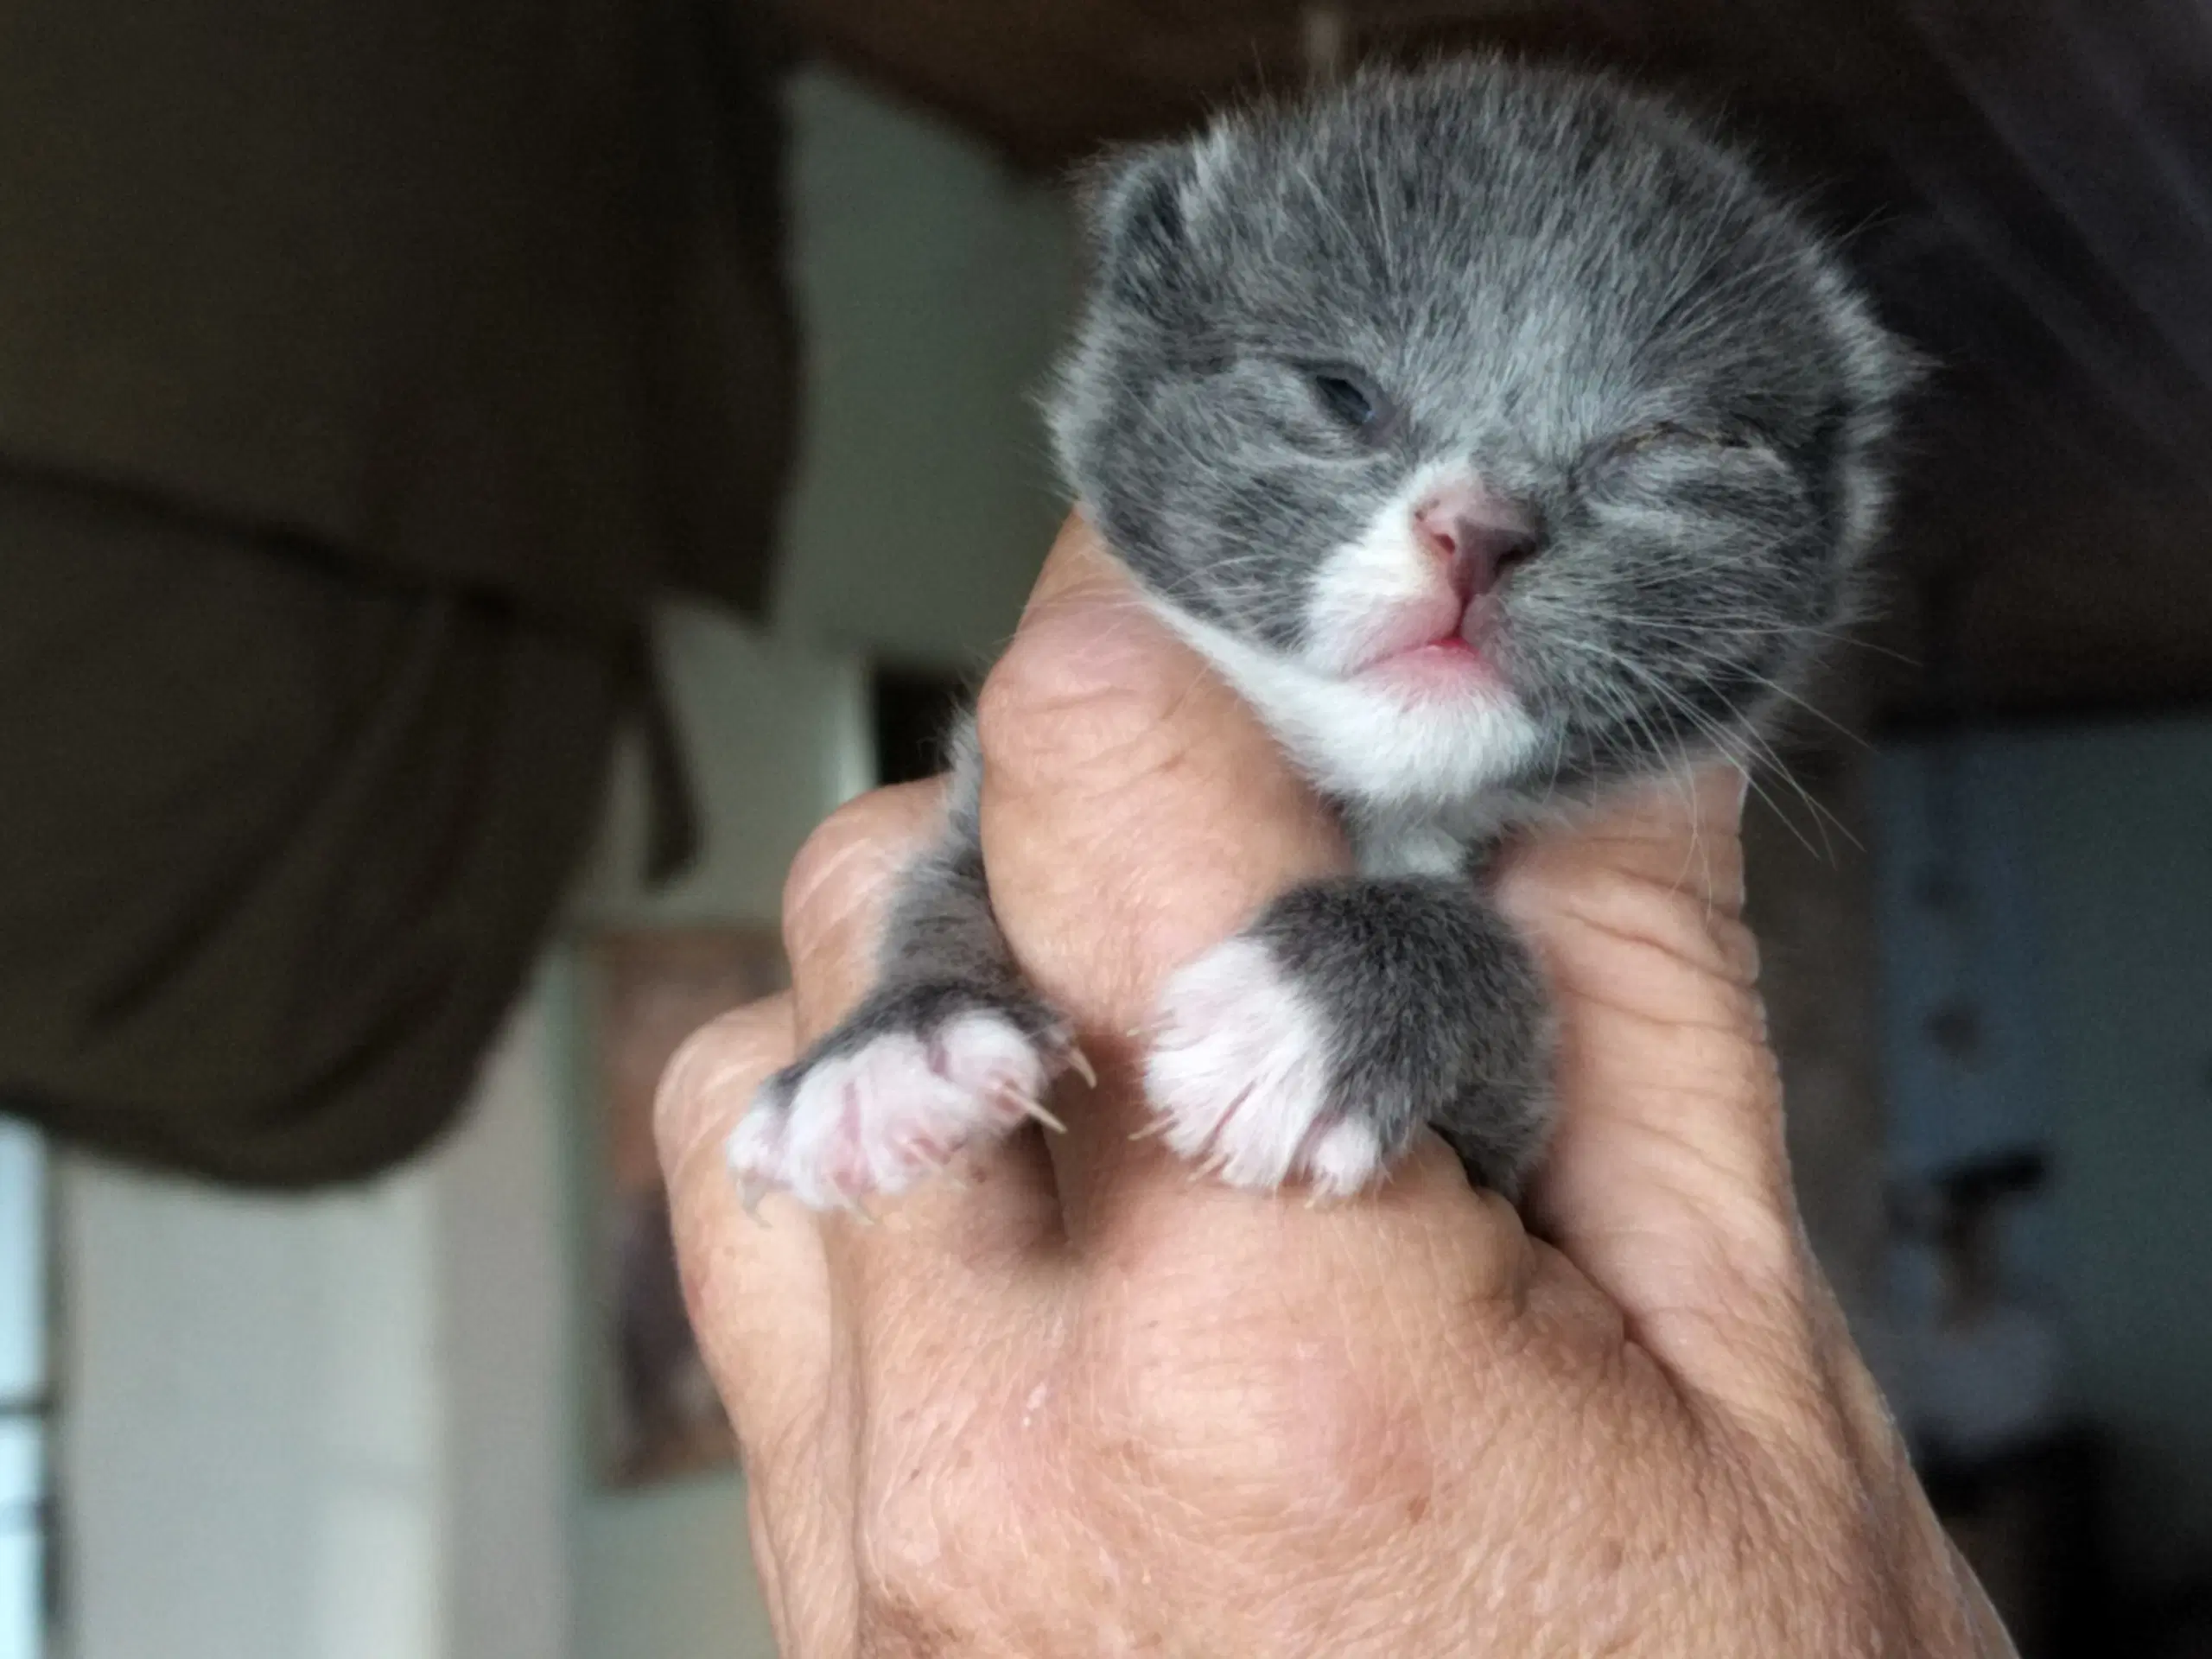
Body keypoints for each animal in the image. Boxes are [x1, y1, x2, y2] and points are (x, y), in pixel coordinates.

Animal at [729, 58, 1920, 1211]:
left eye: (1659, 447)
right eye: (1342, 394)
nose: (1479, 535)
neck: (1392, 810)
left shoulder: (1508, 1160)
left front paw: (1320, 1007)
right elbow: (939, 882)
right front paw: (894, 1043)